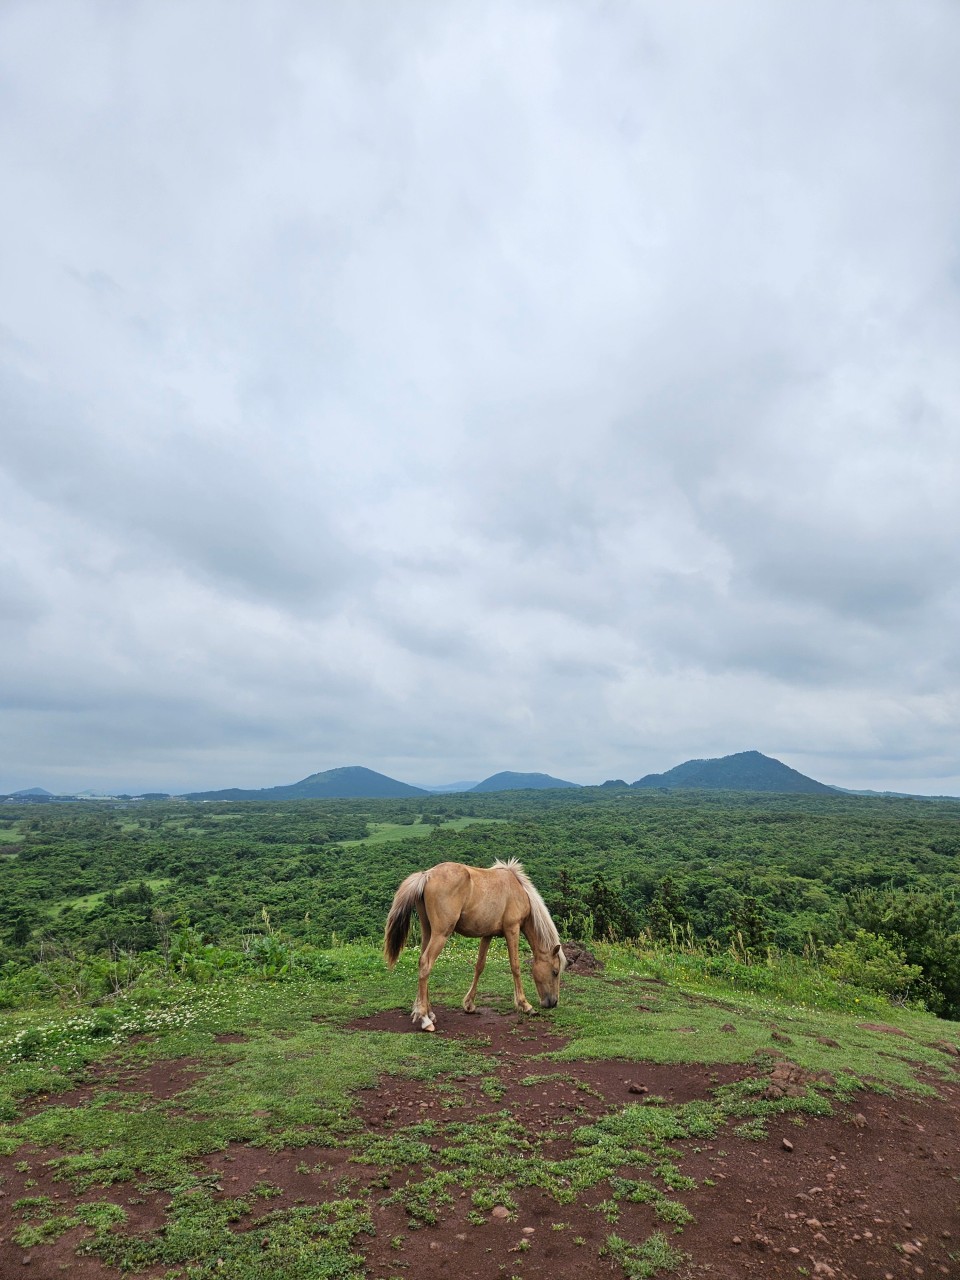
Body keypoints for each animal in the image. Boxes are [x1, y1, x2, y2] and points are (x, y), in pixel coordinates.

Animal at [381, 860, 563, 1029]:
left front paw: (469, 1004)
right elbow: (515, 967)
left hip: (428, 931)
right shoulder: (512, 929)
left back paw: (429, 1012)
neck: (519, 890)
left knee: (422, 962)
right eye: (555, 972)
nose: (553, 1002)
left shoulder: (487, 934)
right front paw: (525, 1005)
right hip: (441, 933)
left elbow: (479, 966)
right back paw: (425, 1019)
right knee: (426, 963)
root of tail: (427, 875)